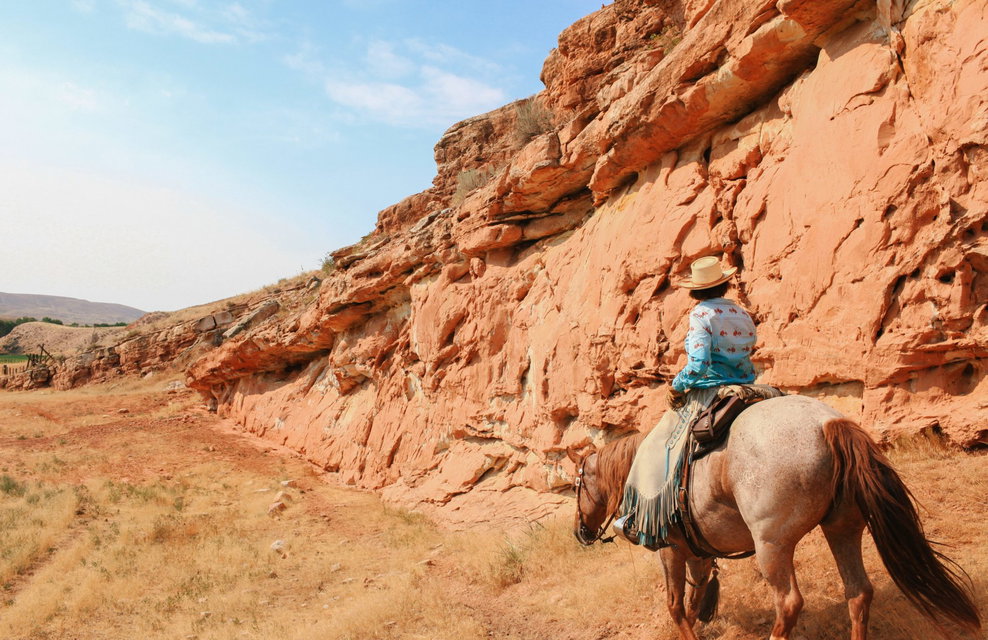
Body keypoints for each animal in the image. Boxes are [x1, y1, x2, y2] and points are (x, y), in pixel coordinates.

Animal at [568, 394, 981, 640]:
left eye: (577, 484)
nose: (581, 532)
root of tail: (827, 423)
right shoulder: (698, 552)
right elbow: (695, 596)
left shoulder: (670, 549)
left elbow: (674, 604)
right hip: (843, 529)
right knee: (859, 592)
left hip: (772, 545)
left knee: (789, 603)